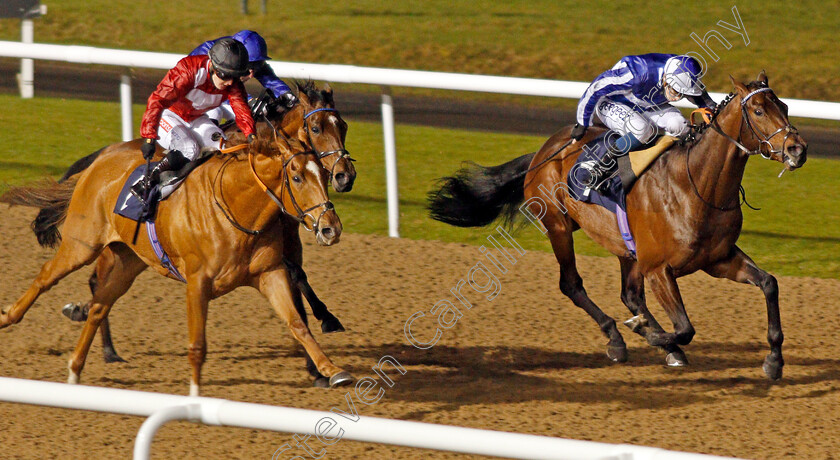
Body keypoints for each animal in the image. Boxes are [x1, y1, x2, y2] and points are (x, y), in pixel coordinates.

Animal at [0, 134, 354, 396]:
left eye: (323, 175)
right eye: (296, 177)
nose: (331, 228)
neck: (236, 207)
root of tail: (100, 161)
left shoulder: (270, 273)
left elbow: (298, 324)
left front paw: (332, 370)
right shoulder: (198, 283)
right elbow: (197, 344)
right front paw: (195, 393)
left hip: (128, 260)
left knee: (100, 305)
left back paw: (75, 368)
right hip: (81, 244)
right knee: (46, 277)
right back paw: (8, 317)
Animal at [33, 81, 352, 364]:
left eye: (344, 127)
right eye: (316, 128)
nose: (345, 176)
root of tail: (104, 153)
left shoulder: (286, 237)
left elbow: (298, 279)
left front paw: (323, 328)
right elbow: (296, 274)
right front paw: (324, 330)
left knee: (99, 283)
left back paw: (93, 328)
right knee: (95, 280)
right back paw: (104, 345)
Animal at [434, 73, 808, 380]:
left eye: (785, 106)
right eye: (758, 111)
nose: (797, 149)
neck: (696, 185)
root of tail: (546, 150)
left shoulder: (718, 259)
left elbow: (769, 284)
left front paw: (774, 360)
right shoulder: (659, 269)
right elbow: (685, 327)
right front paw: (657, 337)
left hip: (625, 249)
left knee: (629, 294)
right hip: (558, 226)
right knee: (572, 284)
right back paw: (616, 337)